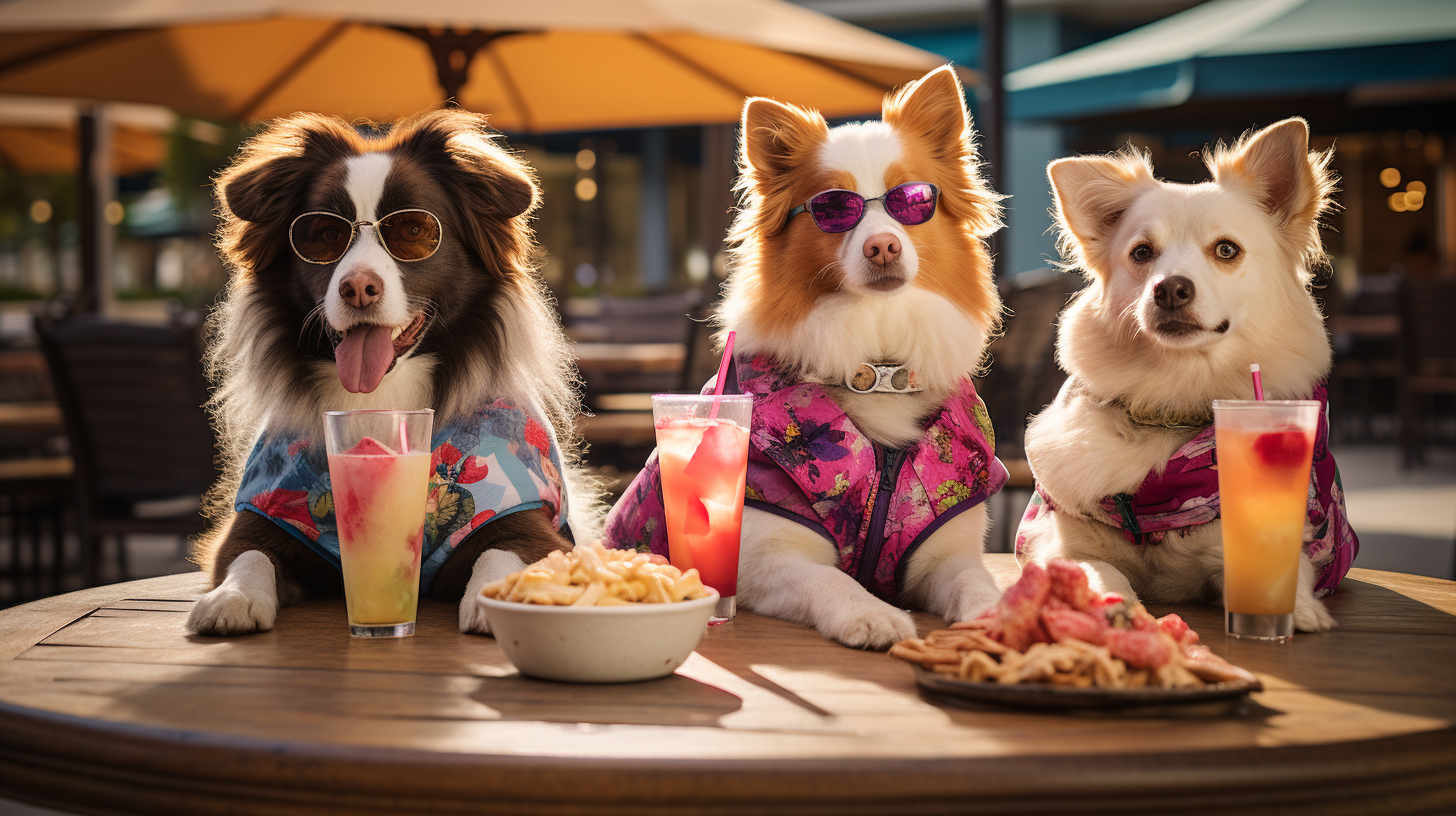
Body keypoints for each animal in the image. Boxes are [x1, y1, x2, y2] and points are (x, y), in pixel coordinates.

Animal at [186, 108, 596, 638]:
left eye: (414, 231)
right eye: (322, 235)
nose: (358, 287)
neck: (381, 396)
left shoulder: (524, 518)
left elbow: (503, 554)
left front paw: (496, 599)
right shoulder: (266, 513)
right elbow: (248, 555)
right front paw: (231, 597)